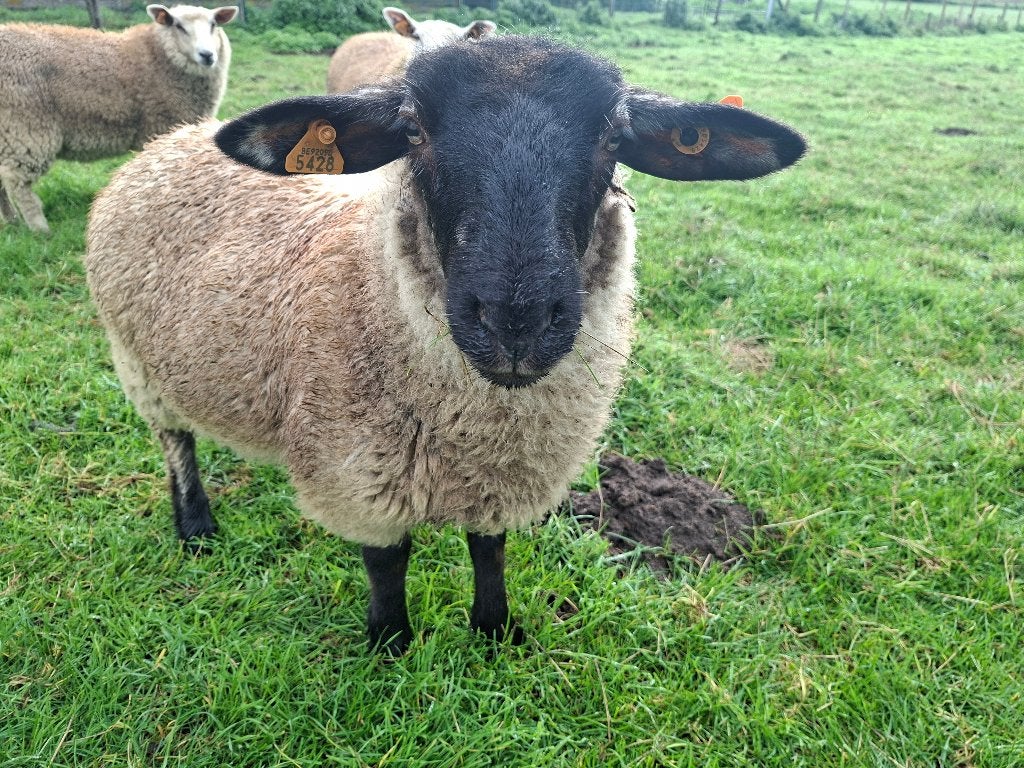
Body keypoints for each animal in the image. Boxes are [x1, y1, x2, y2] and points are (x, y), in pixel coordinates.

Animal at [0, 4, 238, 234]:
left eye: (213, 24)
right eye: (178, 26)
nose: (207, 55)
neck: (158, 56)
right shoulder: (159, 128)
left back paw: (12, 221)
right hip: (25, 130)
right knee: (19, 185)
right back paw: (40, 229)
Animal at [85, 36, 805, 655]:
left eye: (614, 137)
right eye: (413, 132)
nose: (516, 322)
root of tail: (171, 140)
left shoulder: (506, 469)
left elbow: (489, 550)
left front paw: (494, 631)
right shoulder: (361, 470)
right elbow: (387, 560)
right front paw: (391, 642)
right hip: (137, 364)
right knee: (175, 441)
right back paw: (196, 528)